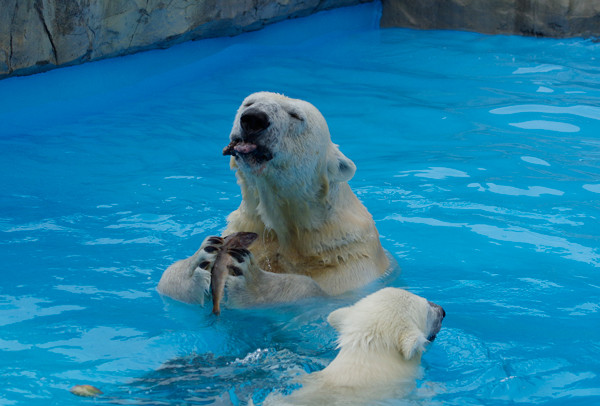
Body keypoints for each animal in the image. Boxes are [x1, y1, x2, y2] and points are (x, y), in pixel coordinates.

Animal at [157, 92, 390, 308]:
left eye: (296, 116)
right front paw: (200, 258)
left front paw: (254, 281)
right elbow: (167, 281)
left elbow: (317, 292)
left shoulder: (349, 259)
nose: (253, 119)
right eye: (248, 103)